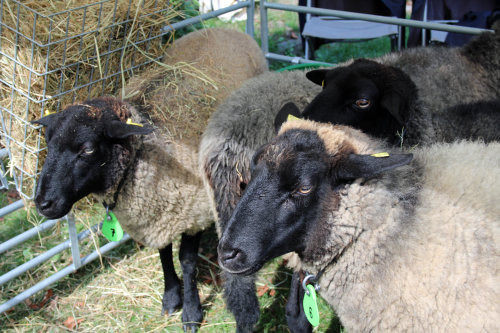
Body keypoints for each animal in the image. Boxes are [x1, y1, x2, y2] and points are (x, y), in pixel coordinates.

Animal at [32, 27, 268, 330]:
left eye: (87, 149)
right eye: (48, 143)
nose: (43, 204)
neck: (142, 155)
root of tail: (223, 28)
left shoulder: (194, 212)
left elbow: (186, 260)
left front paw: (191, 312)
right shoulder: (158, 213)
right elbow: (164, 254)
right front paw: (171, 297)